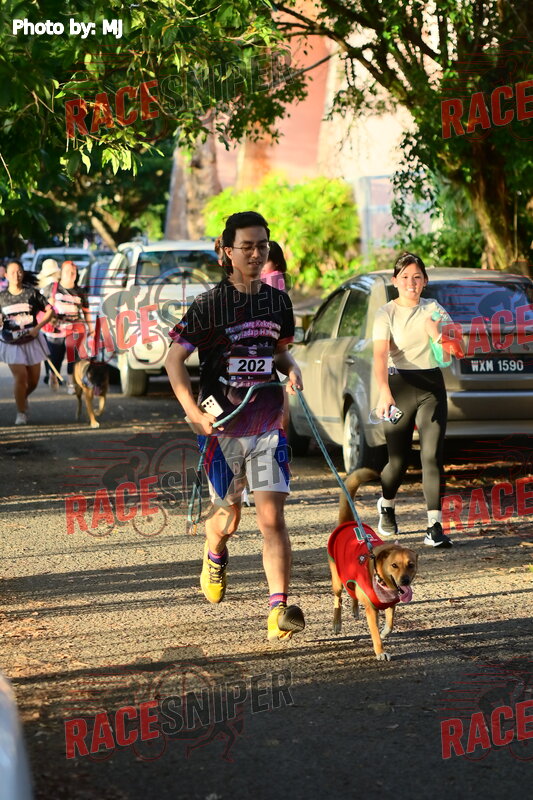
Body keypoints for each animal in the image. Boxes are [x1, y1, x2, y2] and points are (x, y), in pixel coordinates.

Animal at [328, 468, 418, 661]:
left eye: (411, 565)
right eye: (394, 565)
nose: (405, 581)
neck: (382, 582)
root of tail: (349, 522)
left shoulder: (391, 604)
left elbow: (390, 624)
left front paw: (385, 632)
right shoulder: (372, 610)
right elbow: (375, 634)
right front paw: (381, 651)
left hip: (349, 577)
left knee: (352, 593)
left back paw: (355, 609)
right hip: (337, 579)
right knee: (338, 599)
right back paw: (337, 623)